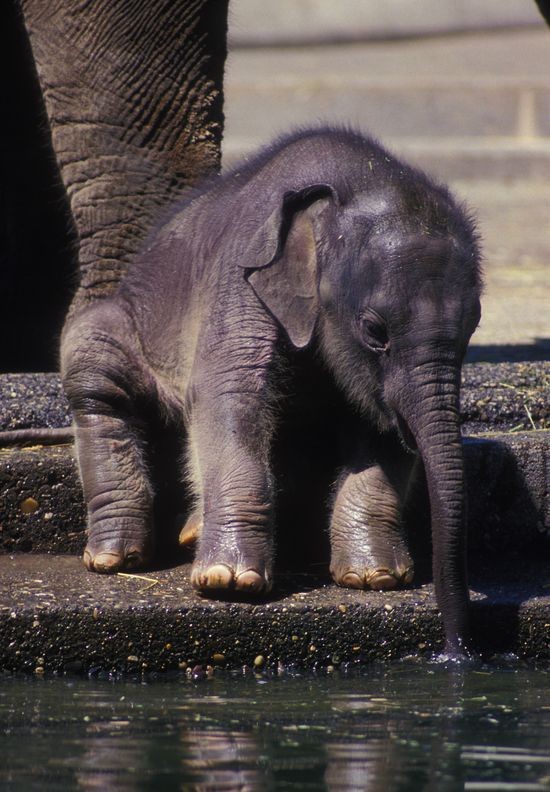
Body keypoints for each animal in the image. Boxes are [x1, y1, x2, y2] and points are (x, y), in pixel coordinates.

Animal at [61, 125, 484, 656]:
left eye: (473, 328)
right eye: (374, 330)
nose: (456, 647)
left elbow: (377, 424)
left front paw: (376, 579)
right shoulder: (240, 274)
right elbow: (230, 394)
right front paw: (228, 583)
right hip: (126, 320)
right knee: (93, 370)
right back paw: (115, 559)